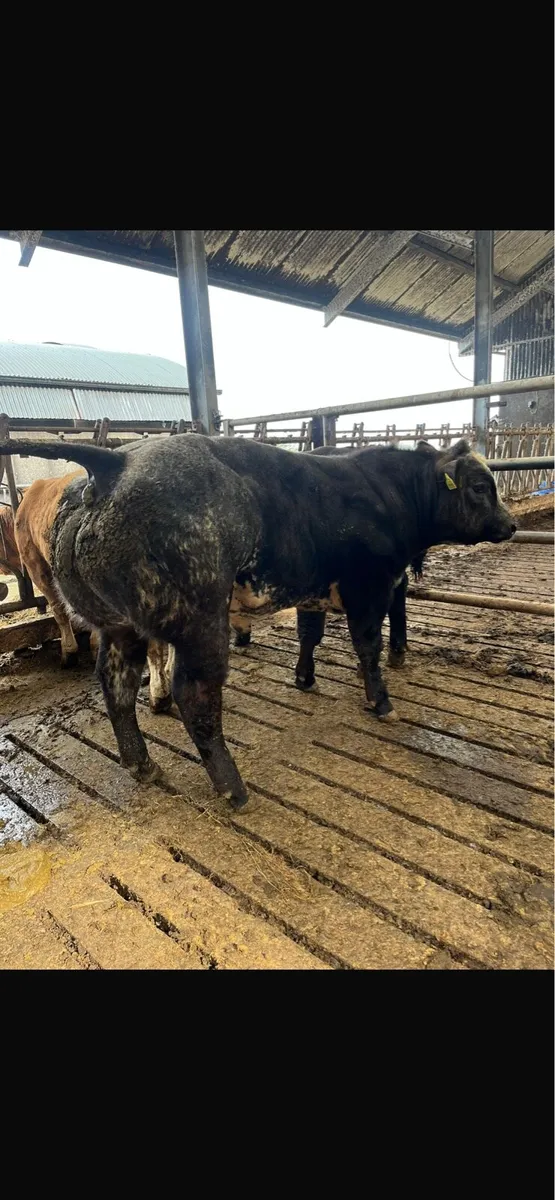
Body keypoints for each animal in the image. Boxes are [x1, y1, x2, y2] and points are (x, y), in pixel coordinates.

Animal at [0, 435, 516, 812]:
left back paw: (142, 765)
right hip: (200, 623)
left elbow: (310, 634)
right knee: (194, 694)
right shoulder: (369, 587)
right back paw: (233, 789)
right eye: (478, 487)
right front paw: (381, 701)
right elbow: (368, 647)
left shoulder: (313, 588)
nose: (510, 525)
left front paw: (305, 678)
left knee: (116, 685)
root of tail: (117, 461)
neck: (387, 493)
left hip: (119, 626)